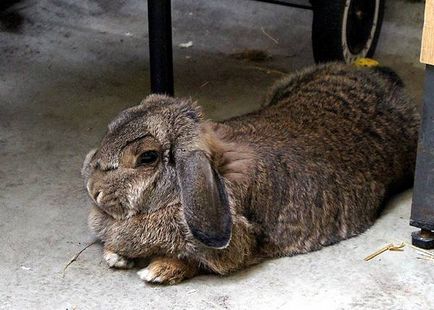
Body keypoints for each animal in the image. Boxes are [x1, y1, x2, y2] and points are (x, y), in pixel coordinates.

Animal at [83, 61, 418, 284]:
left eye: (147, 157)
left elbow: (198, 262)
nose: (92, 189)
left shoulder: (235, 244)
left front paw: (157, 271)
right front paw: (116, 255)